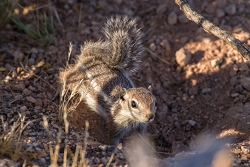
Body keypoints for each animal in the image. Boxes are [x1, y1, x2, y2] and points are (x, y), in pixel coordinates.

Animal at [58, 16, 156, 146]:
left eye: (154, 101)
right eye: (133, 104)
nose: (150, 116)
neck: (133, 120)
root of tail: (89, 58)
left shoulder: (141, 126)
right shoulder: (115, 125)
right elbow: (113, 139)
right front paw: (116, 146)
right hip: (76, 81)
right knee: (64, 75)